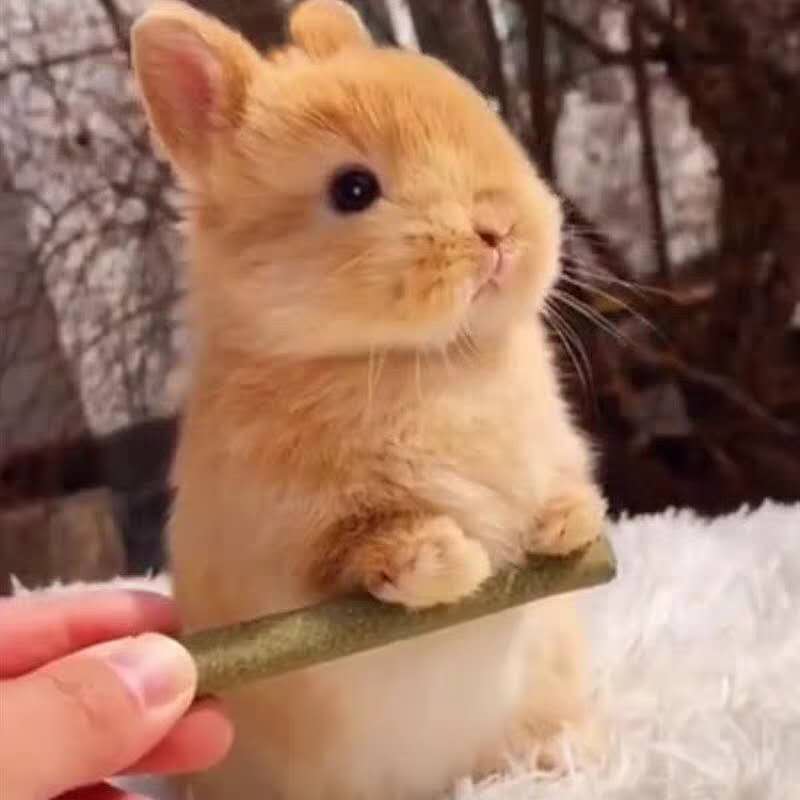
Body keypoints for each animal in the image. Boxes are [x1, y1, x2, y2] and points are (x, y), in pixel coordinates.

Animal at [130, 1, 607, 798]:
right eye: (352, 189)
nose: (499, 230)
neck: (433, 360)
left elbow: (559, 485)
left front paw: (568, 519)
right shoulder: (288, 539)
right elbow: (360, 550)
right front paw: (448, 559)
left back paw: (566, 752)